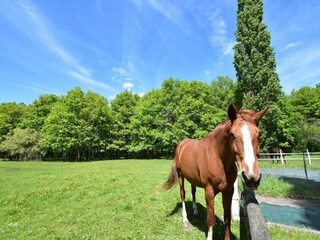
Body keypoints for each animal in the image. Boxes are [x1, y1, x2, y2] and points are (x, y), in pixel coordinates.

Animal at [162, 104, 268, 239]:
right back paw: (185, 219)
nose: (251, 178)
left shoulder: (228, 191)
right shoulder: (209, 191)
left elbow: (227, 218)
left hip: (192, 179)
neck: (218, 157)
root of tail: (181, 144)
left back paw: (195, 212)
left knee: (193, 192)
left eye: (259, 134)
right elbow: (210, 219)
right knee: (183, 194)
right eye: (232, 134)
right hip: (181, 176)